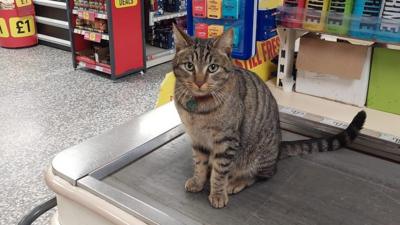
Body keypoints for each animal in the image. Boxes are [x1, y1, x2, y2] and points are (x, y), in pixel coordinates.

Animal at [172, 24, 366, 207]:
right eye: (189, 66)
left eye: (212, 68)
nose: (199, 82)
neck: (198, 108)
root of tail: (279, 147)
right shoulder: (197, 139)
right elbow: (199, 163)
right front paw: (198, 181)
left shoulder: (226, 140)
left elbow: (220, 172)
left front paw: (218, 193)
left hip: (258, 157)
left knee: (262, 174)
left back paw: (236, 182)